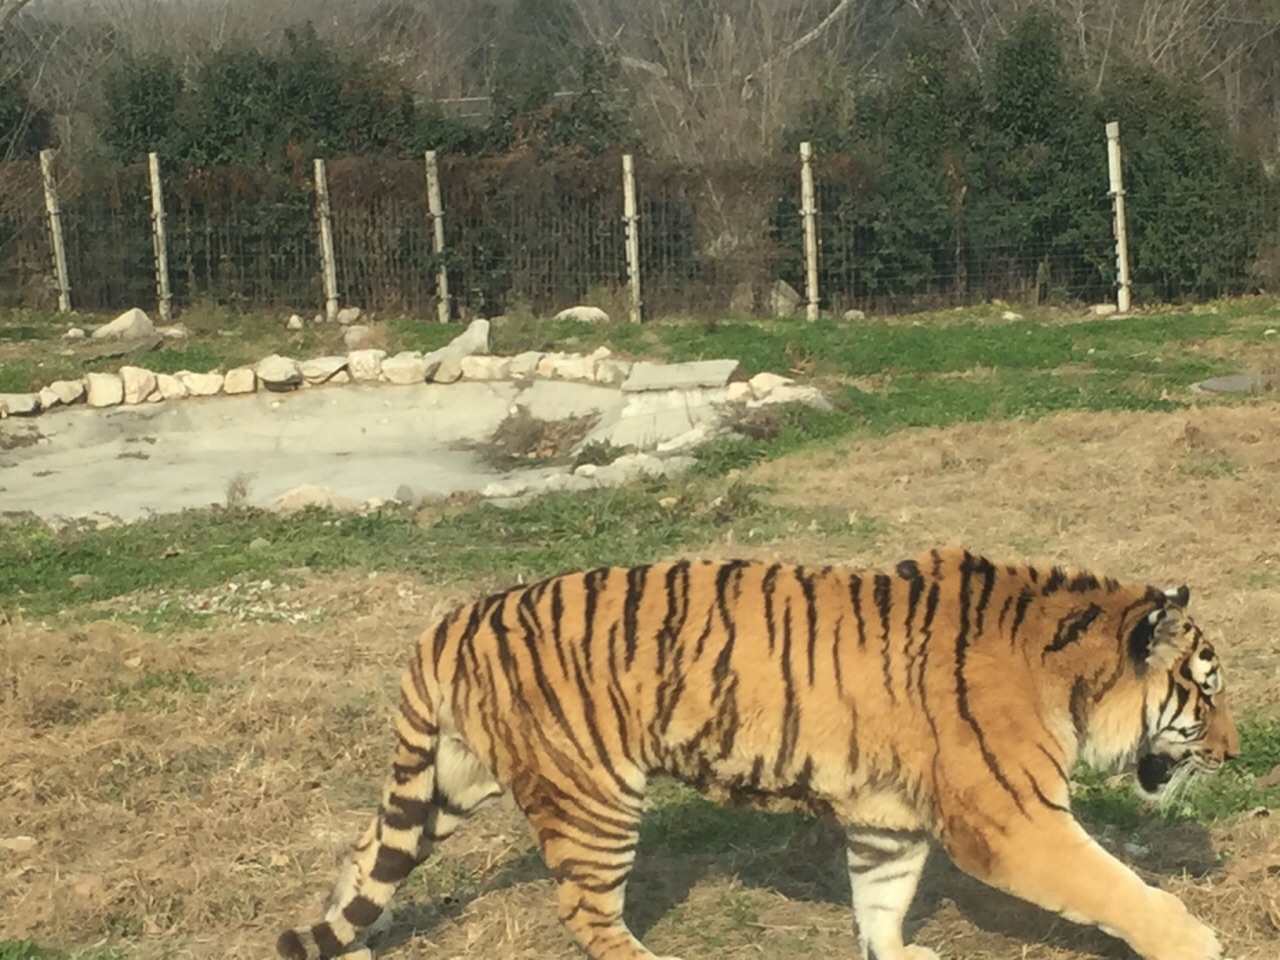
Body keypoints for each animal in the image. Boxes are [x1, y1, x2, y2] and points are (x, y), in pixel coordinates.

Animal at [275, 547, 1233, 960]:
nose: (1232, 753)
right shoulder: (1015, 821)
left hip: (447, 779)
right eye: (1207, 691)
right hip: (592, 798)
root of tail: (453, 621)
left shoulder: (889, 824)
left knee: (366, 857)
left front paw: (897, 956)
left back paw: (351, 944)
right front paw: (1196, 943)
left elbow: (882, 899)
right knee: (586, 910)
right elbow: (1117, 887)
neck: (1065, 670)